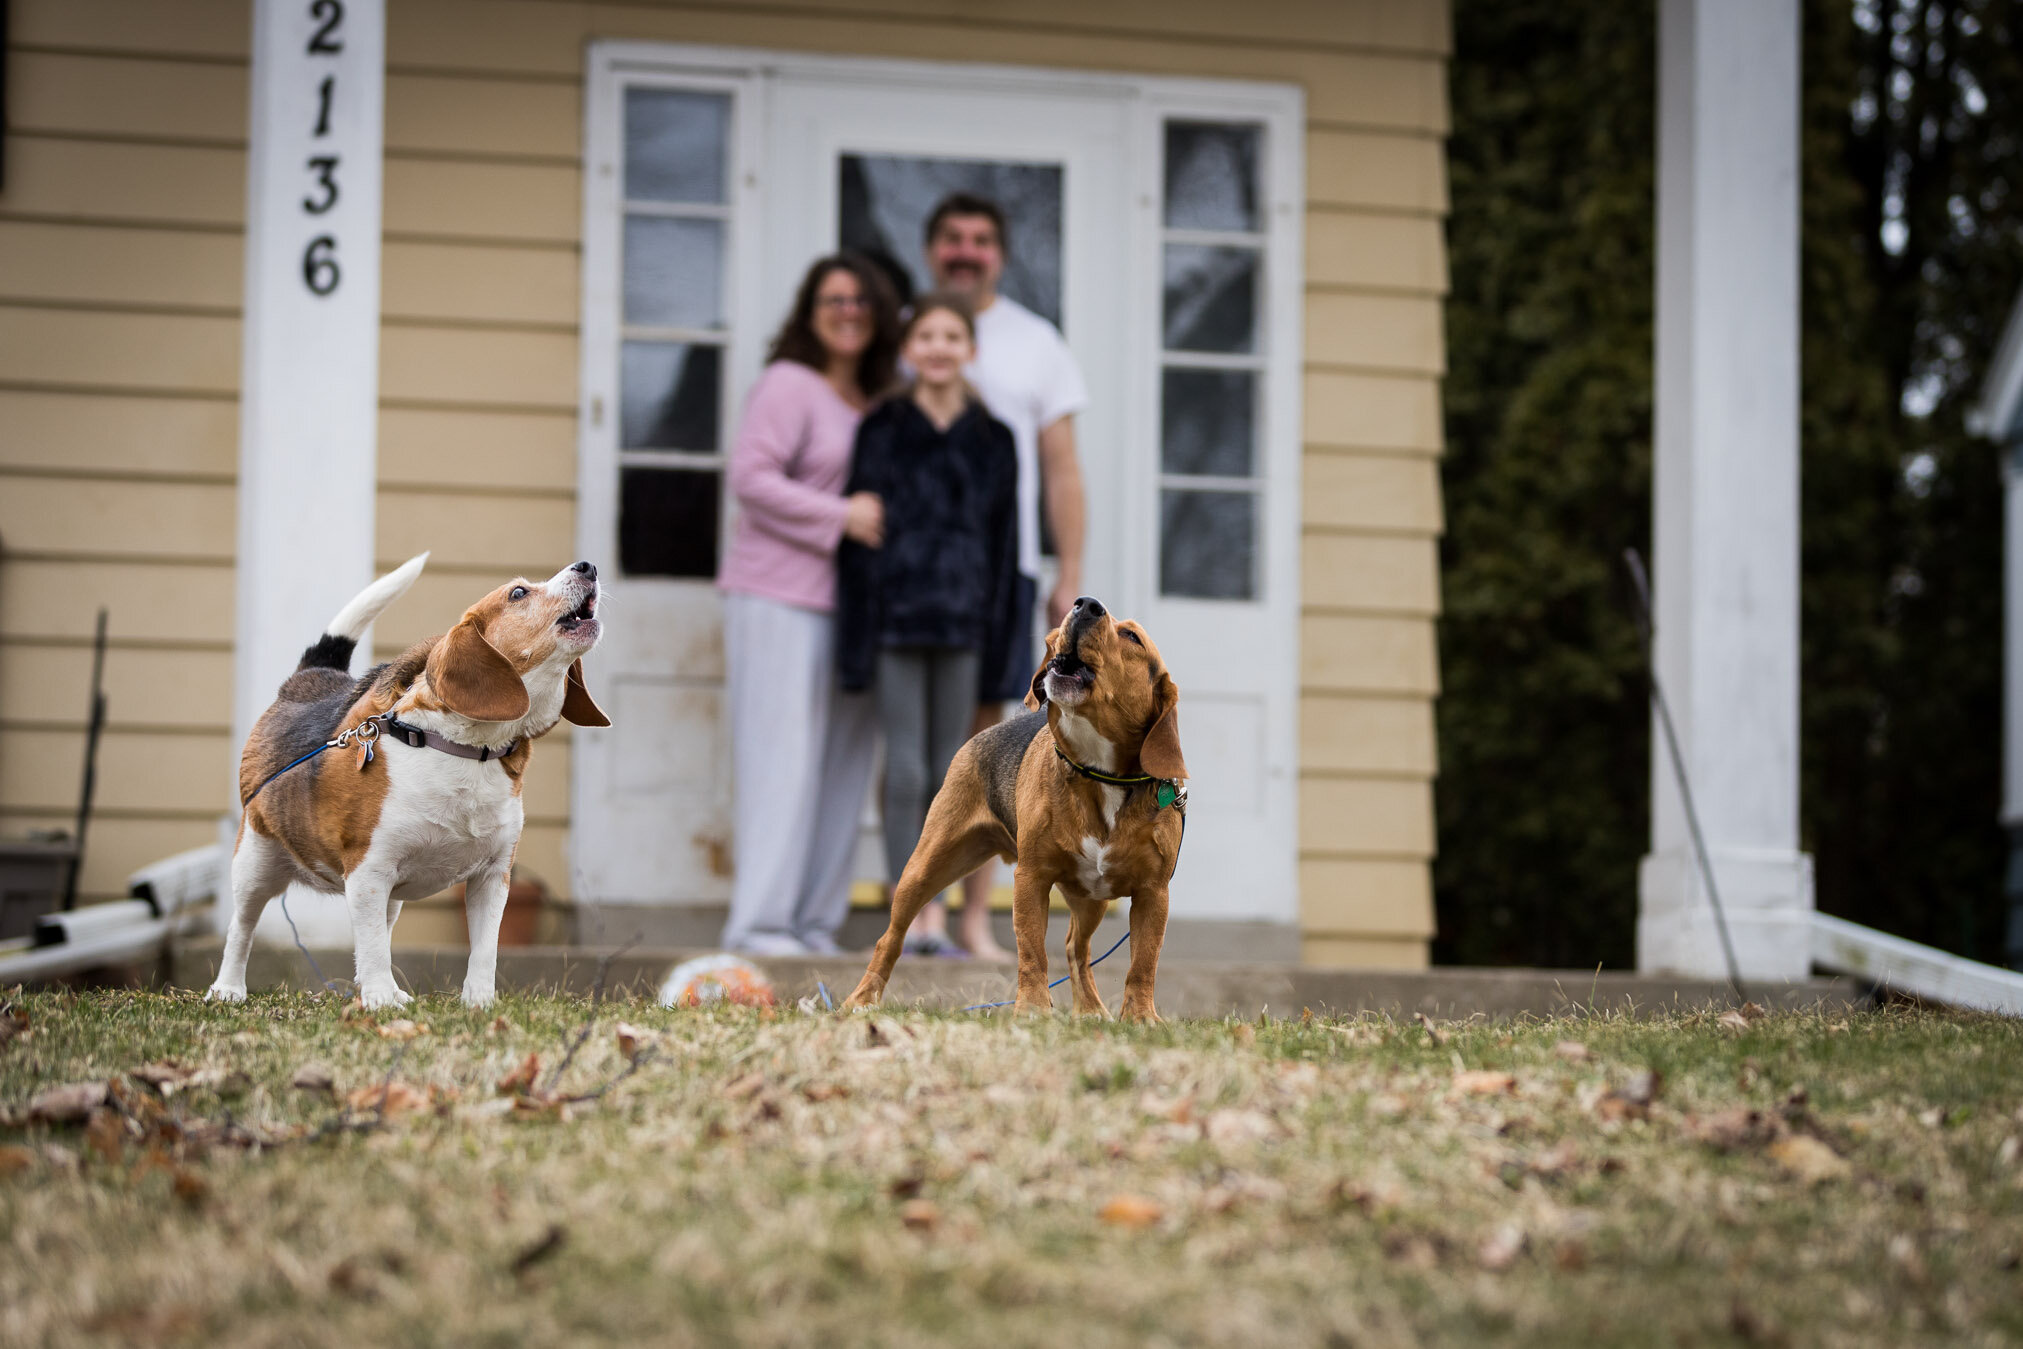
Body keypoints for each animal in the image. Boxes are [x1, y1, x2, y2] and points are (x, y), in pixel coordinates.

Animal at [841, 594, 1181, 1019]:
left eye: (1132, 637)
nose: (1085, 604)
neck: (1098, 772)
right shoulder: (1031, 878)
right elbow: (1032, 952)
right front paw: (1033, 1008)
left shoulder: (1153, 894)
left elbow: (1143, 963)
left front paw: (1140, 1017)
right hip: (923, 869)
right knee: (891, 939)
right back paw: (861, 998)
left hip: (1093, 899)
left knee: (1076, 948)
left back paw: (1089, 1009)